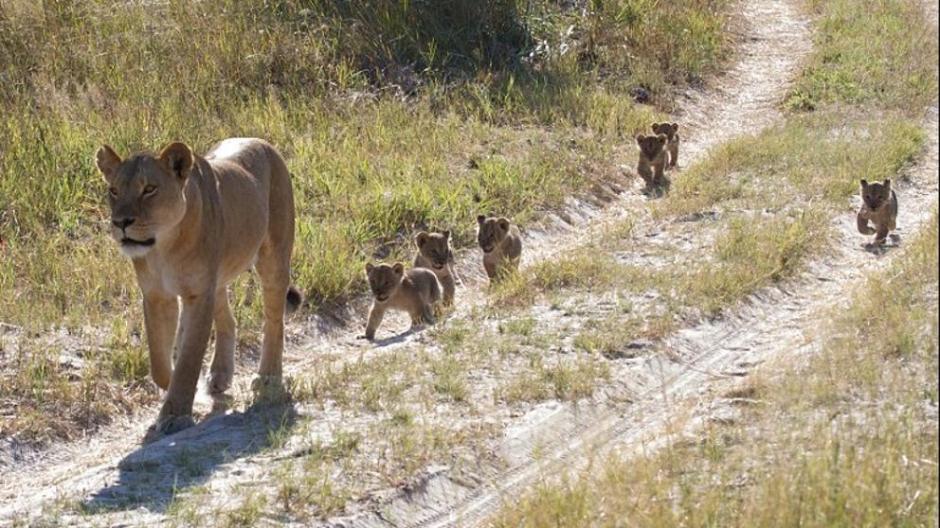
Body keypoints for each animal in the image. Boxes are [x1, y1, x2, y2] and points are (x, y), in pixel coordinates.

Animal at [95, 138, 299, 439]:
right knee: (228, 320)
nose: (120, 222)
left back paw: (268, 378)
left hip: (273, 258)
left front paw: (176, 415)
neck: (163, 248)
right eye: (114, 191)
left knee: (274, 321)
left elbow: (189, 359)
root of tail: (260, 141)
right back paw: (220, 375)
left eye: (149, 189)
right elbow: (159, 361)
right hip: (218, 277)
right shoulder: (157, 296)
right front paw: (179, 389)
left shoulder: (198, 294)